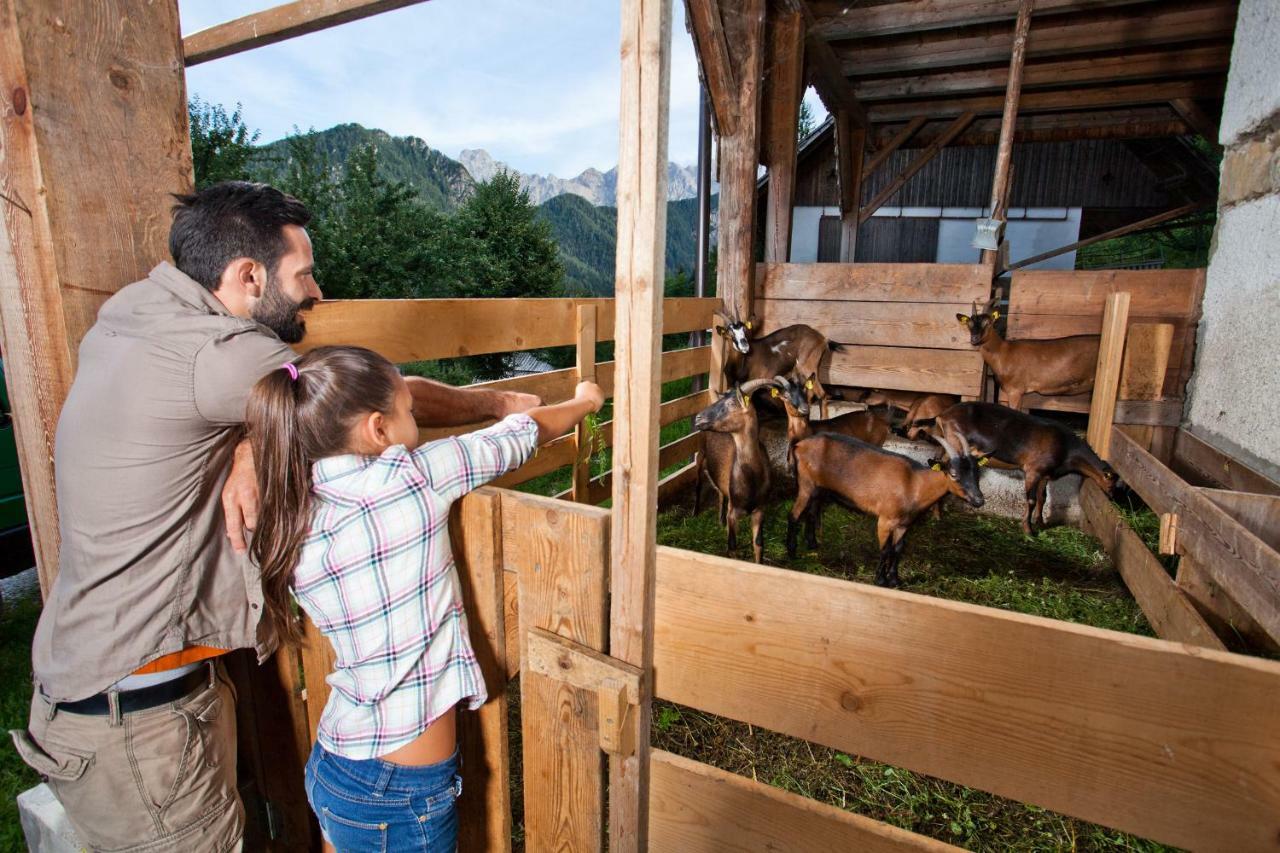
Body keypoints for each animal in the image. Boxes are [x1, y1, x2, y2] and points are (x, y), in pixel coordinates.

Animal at [691, 376, 778, 560]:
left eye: (731, 403)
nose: (698, 418)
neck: (752, 478)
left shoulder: (760, 510)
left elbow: (759, 544)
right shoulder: (734, 513)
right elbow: (732, 547)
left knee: (721, 493)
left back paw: (720, 520)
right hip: (700, 455)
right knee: (698, 484)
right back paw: (695, 513)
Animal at [783, 432, 983, 584]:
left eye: (977, 472)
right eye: (953, 474)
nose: (979, 500)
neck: (914, 484)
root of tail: (799, 444)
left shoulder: (904, 524)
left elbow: (898, 548)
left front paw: (894, 579)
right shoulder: (885, 520)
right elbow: (885, 549)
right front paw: (880, 579)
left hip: (819, 489)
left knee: (811, 513)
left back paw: (812, 543)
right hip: (806, 484)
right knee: (793, 515)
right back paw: (792, 552)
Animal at [926, 399, 1116, 532]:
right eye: (1112, 483)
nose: (1114, 499)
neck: (1067, 448)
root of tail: (942, 415)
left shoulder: (1045, 474)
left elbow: (1043, 497)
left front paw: (1040, 523)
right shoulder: (1033, 470)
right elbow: (1031, 499)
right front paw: (1027, 529)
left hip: (945, 444)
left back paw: (937, 513)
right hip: (956, 444)